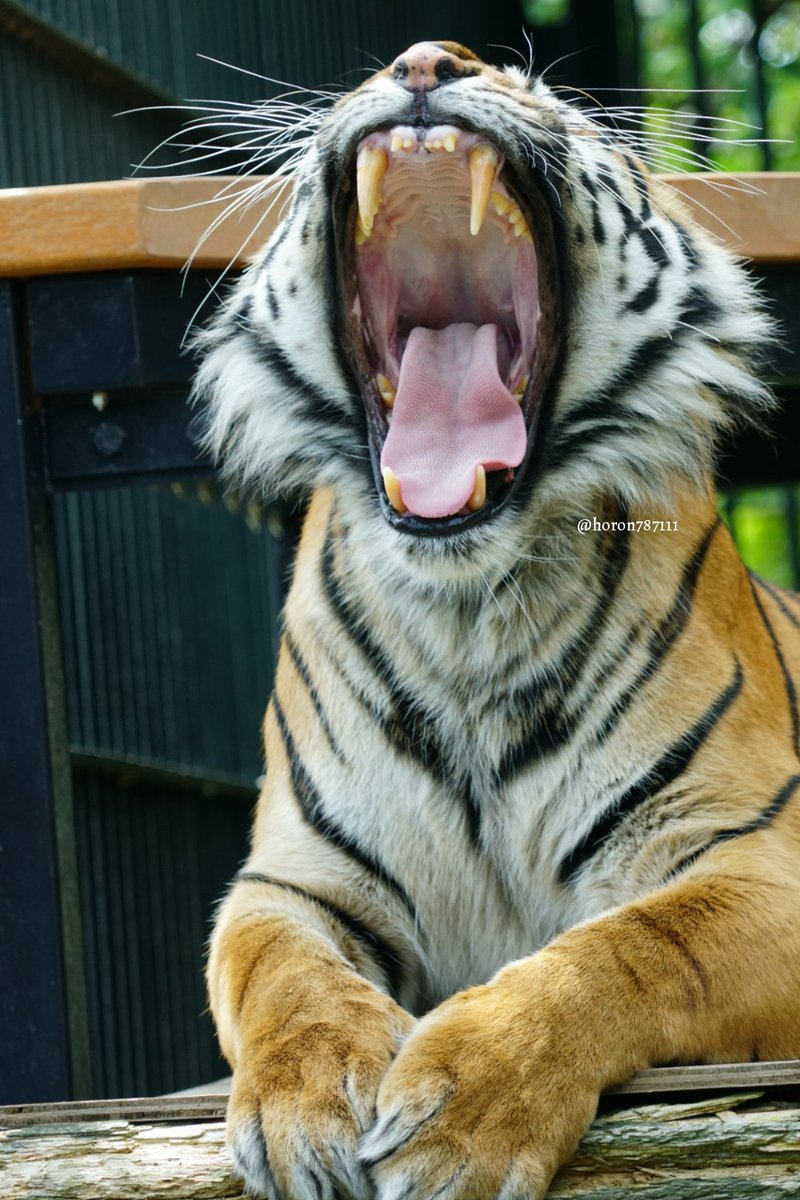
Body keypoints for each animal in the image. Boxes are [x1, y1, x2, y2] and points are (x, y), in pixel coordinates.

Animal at [194, 37, 800, 1200]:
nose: (427, 59)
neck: (467, 607)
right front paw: (305, 1107)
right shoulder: (294, 878)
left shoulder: (751, 858)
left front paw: (463, 1113)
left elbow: (629, 948)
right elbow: (281, 976)